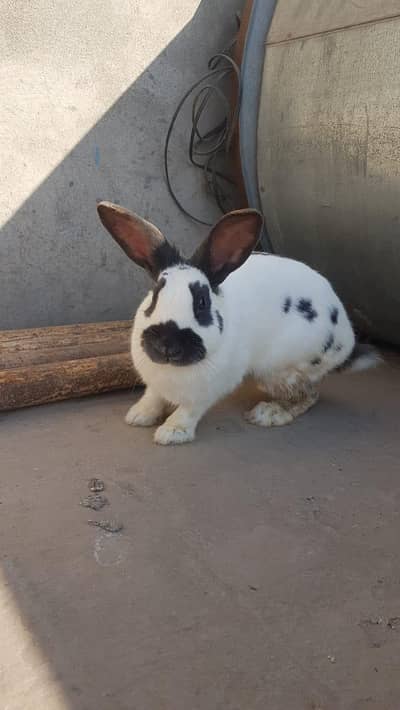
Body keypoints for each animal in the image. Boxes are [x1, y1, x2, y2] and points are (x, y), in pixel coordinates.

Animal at [97, 202, 380, 445]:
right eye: (155, 295)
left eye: (201, 302)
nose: (167, 344)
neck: (173, 370)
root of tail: (348, 341)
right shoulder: (154, 384)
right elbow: (152, 396)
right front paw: (138, 416)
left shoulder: (208, 389)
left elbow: (189, 410)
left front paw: (172, 432)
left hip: (281, 370)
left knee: (309, 396)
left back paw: (268, 414)